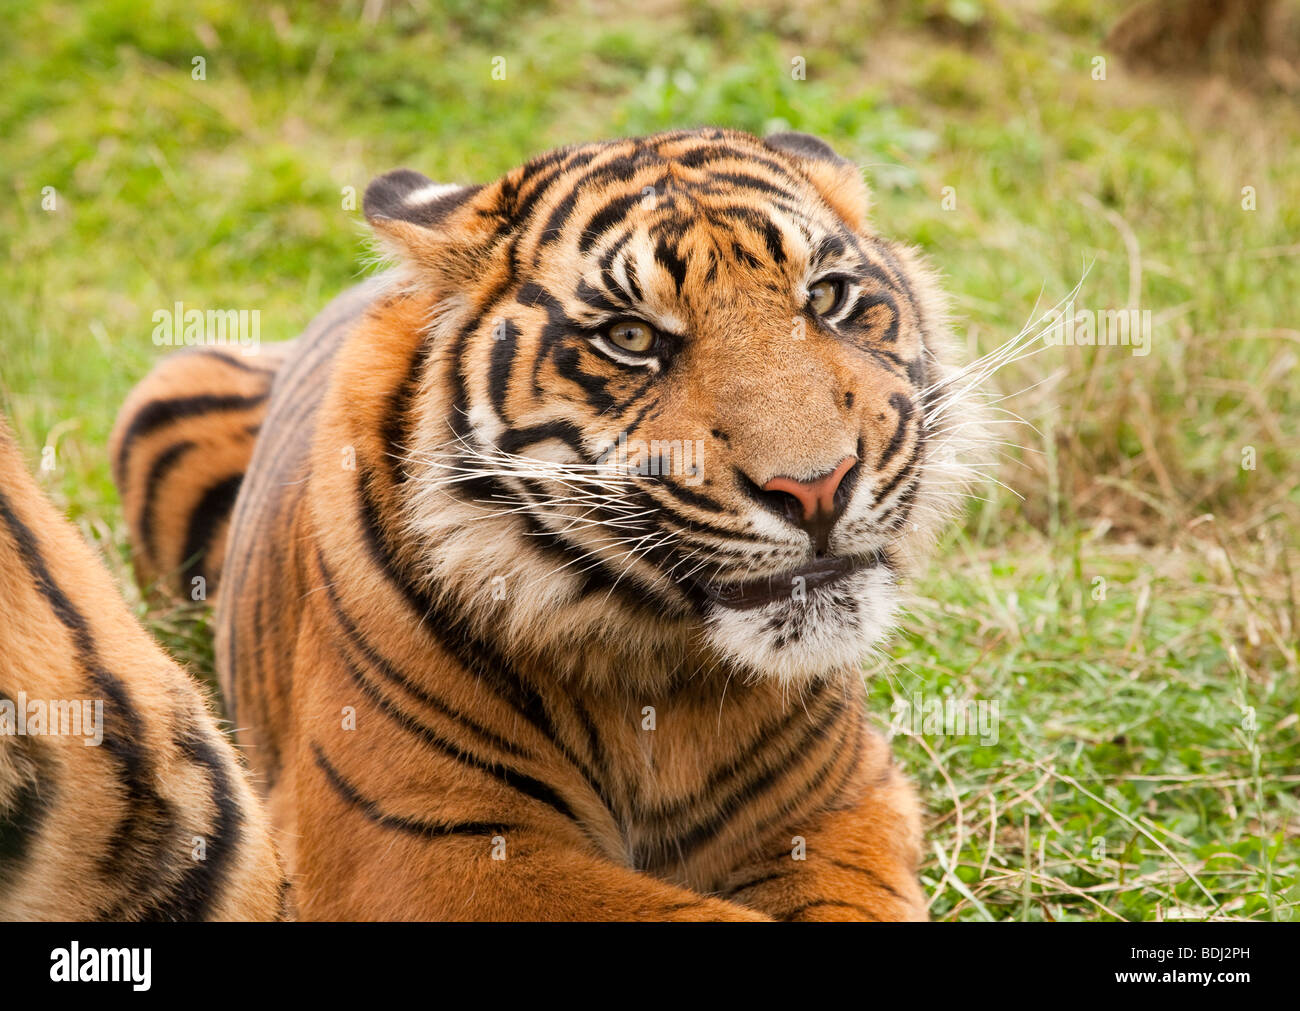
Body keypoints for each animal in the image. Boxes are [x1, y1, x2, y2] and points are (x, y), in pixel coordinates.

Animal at [116, 127, 977, 920]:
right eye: (631, 337)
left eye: (826, 297)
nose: (817, 487)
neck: (659, 680)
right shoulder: (417, 847)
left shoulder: (840, 800)